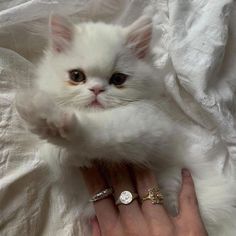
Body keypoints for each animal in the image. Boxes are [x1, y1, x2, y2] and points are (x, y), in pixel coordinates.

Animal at [16, 15, 236, 236]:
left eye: (118, 79)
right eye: (76, 76)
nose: (97, 90)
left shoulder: (148, 130)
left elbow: (98, 132)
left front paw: (53, 121)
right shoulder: (70, 173)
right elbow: (57, 156)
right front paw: (53, 136)